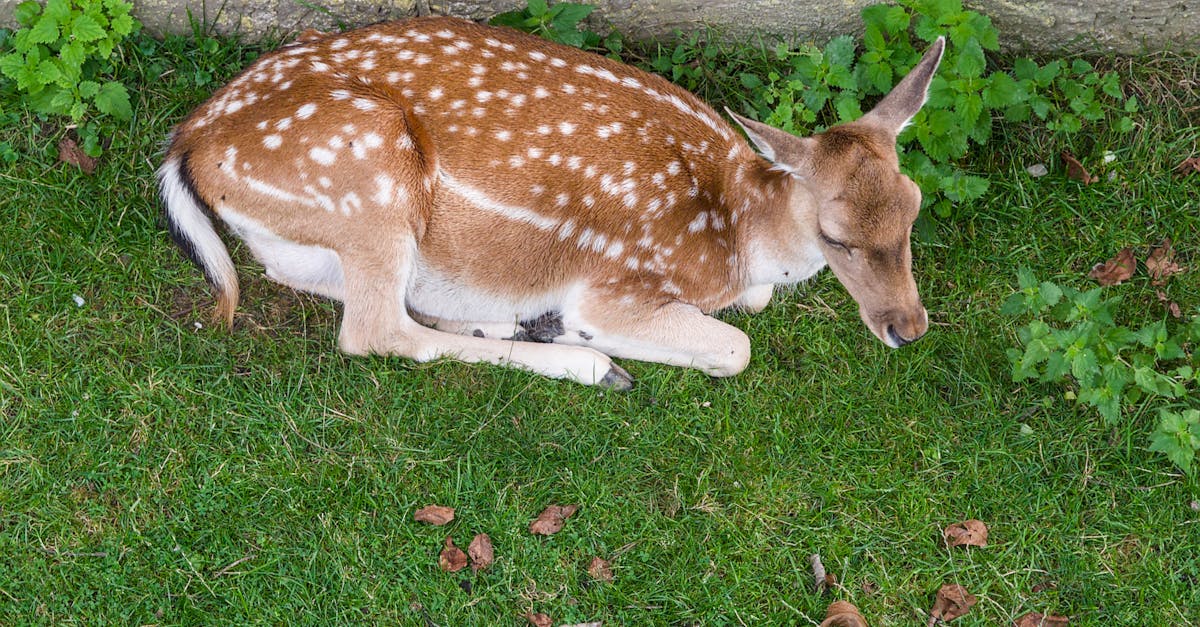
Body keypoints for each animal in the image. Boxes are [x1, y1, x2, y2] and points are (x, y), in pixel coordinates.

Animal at [159, 16, 944, 390]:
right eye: (836, 236)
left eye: (914, 206)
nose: (909, 328)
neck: (738, 228)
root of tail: (187, 141)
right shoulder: (619, 285)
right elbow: (736, 346)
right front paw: (595, 344)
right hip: (370, 180)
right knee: (374, 330)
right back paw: (592, 364)